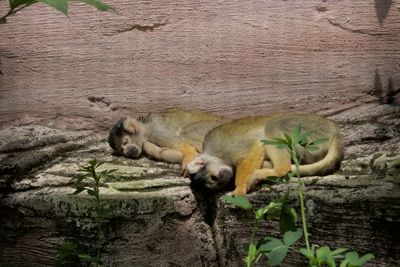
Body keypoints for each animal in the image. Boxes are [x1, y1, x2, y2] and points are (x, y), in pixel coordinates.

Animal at [188, 113, 344, 197]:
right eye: (218, 183)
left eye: (213, 178)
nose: (223, 179)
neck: (211, 152)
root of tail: (334, 132)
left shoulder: (223, 147)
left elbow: (256, 146)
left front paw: (240, 188)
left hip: (309, 132)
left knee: (273, 126)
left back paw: (278, 170)